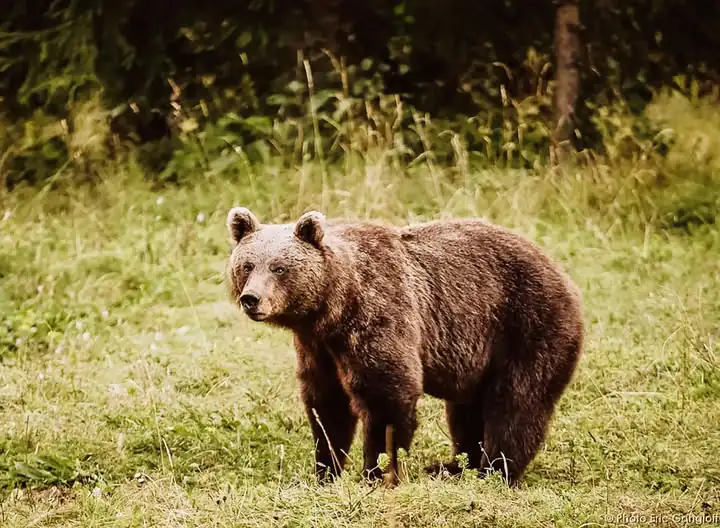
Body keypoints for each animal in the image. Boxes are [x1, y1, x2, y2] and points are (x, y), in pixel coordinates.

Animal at [224, 207, 584, 487]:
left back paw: (493, 471)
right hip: (477, 355)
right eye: (247, 265)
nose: (251, 299)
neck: (333, 307)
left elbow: (387, 396)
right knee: (466, 412)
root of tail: (561, 272)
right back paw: (453, 467)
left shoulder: (379, 315)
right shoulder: (318, 347)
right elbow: (327, 406)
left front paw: (376, 472)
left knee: (516, 403)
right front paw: (325, 471)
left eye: (279, 267)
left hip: (526, 324)